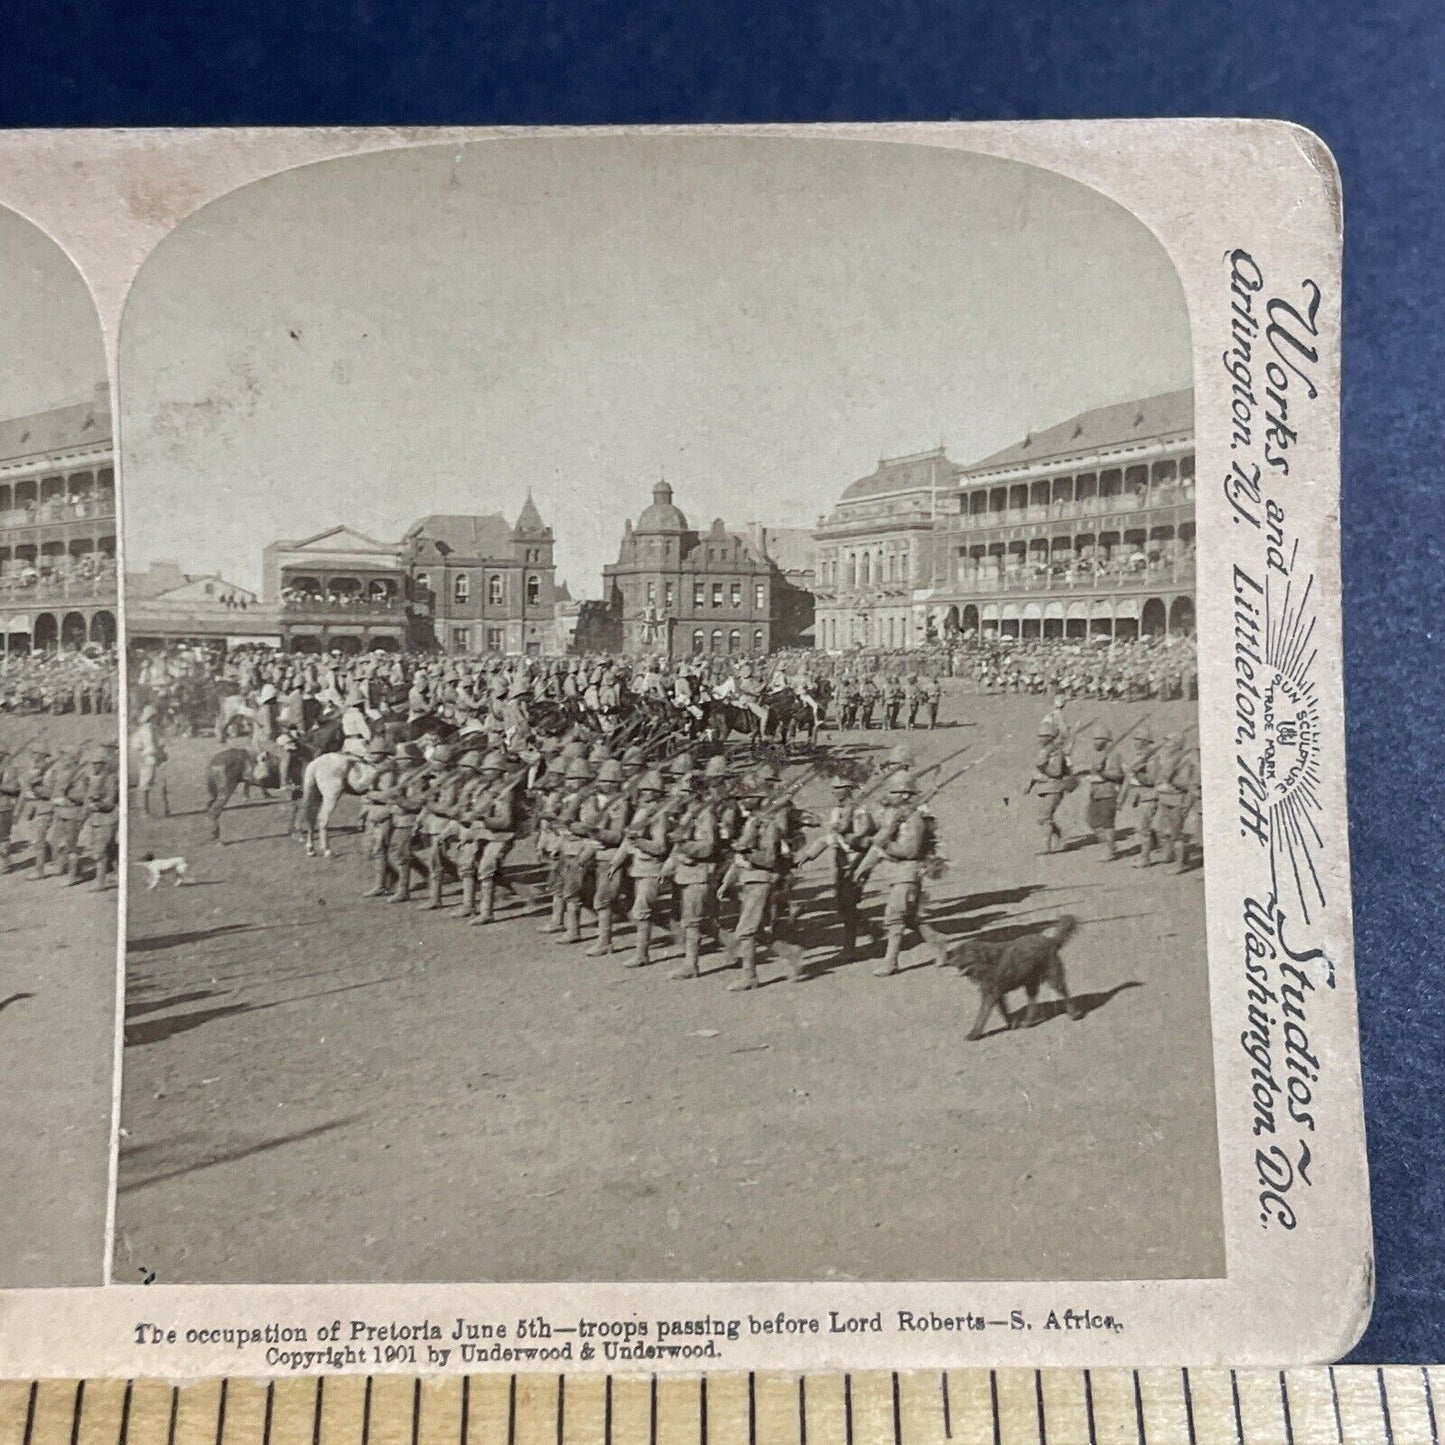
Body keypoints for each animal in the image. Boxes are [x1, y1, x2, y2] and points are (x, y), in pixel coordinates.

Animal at [924, 913, 1086, 1040]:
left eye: (963, 953)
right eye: (958, 952)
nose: (949, 958)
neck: (986, 962)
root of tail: (1051, 941)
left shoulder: (991, 993)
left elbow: (983, 1014)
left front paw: (974, 1034)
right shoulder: (996, 993)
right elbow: (1003, 1010)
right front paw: (1011, 1023)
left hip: (1052, 976)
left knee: (1064, 992)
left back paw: (1074, 1014)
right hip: (1030, 981)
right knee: (1033, 1000)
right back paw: (1028, 1022)